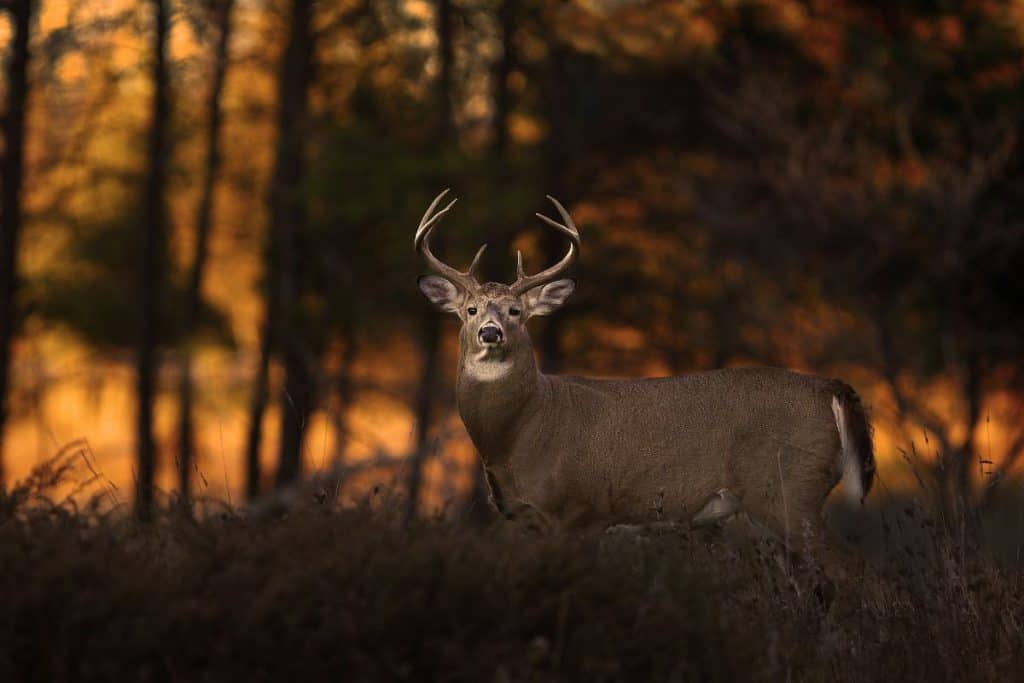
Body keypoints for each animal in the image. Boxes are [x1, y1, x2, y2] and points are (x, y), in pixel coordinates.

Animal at [411, 187, 876, 573]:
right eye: (470, 311)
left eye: (516, 312)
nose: (491, 332)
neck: (523, 430)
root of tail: (830, 388)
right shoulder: (527, 519)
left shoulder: (581, 509)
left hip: (788, 489)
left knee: (853, 569)